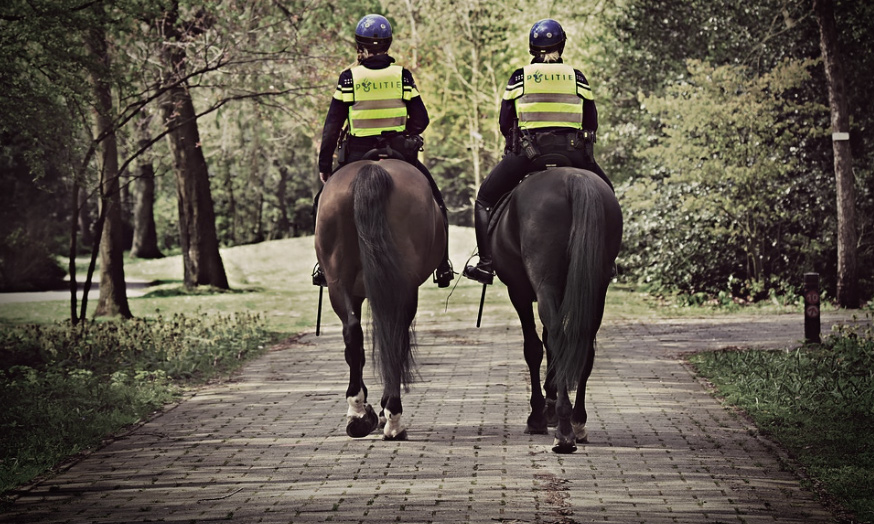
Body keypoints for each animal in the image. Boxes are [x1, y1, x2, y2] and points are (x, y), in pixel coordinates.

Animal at [490, 169, 620, 454]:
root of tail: (573, 179)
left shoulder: (519, 291)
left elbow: (534, 348)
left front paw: (538, 415)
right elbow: (548, 343)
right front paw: (549, 406)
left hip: (543, 282)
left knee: (560, 340)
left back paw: (563, 432)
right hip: (596, 287)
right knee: (583, 342)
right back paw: (578, 422)